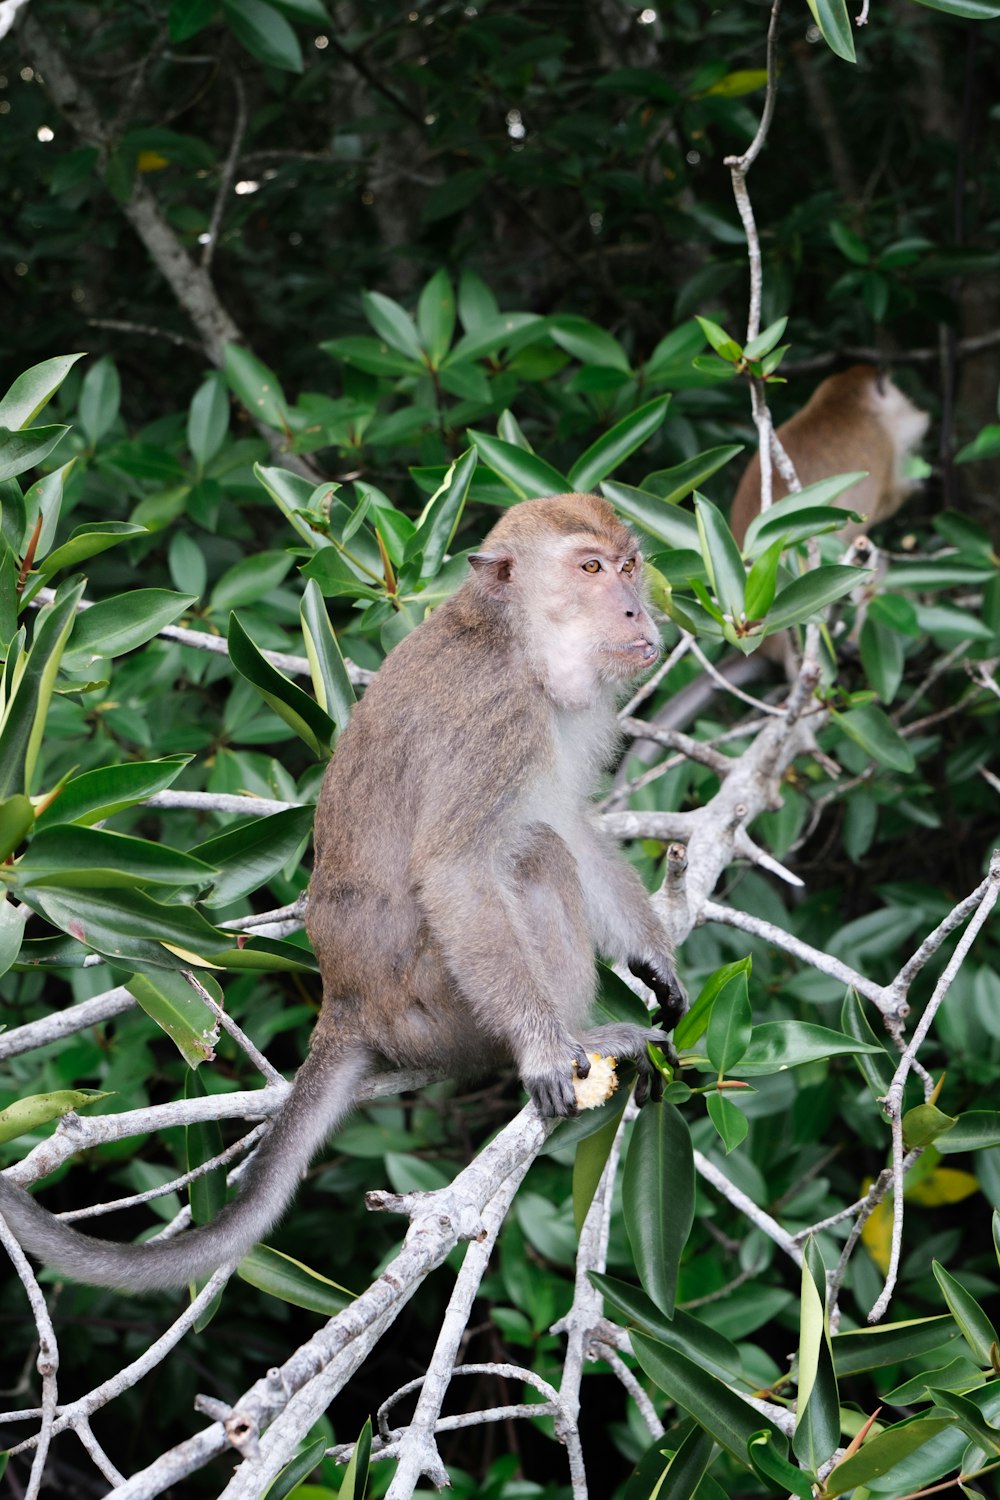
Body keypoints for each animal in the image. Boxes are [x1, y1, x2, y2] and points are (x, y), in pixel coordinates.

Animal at [0, 492, 683, 1290]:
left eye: (629, 566)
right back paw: (568, 1039)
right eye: (589, 569)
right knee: (534, 858)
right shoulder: (494, 719)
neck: (510, 639)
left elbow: (570, 822)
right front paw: (543, 1050)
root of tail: (348, 1004)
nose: (636, 609)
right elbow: (459, 868)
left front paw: (654, 958)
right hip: (435, 1012)